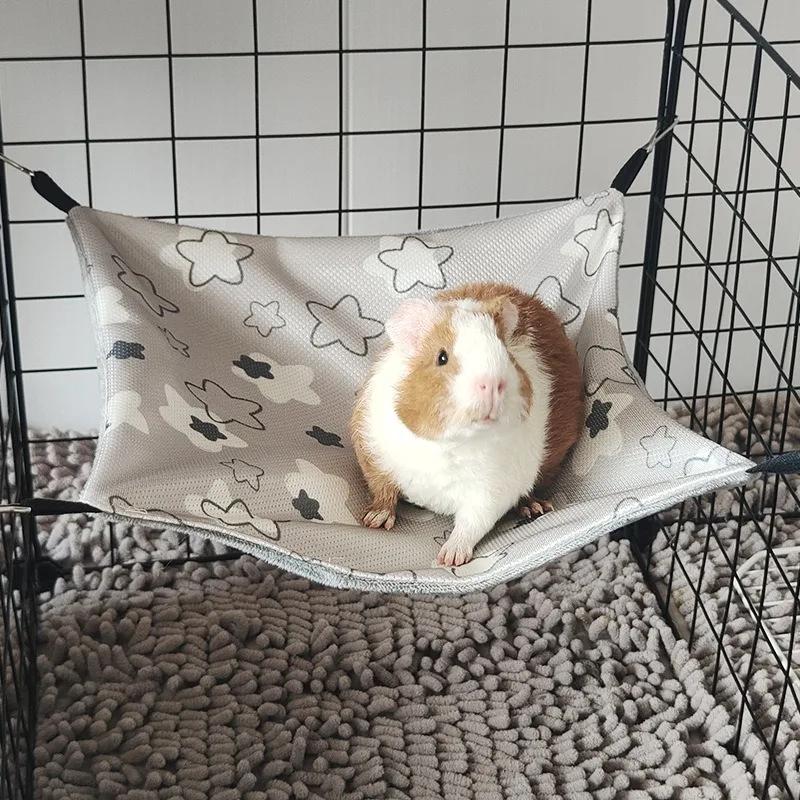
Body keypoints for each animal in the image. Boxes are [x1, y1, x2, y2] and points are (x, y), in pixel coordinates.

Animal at [350, 281, 583, 567]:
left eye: (506, 354)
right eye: (441, 357)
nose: (493, 384)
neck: (452, 443)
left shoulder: (490, 493)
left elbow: (470, 525)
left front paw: (448, 559)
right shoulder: (374, 453)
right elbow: (382, 491)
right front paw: (374, 522)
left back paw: (535, 508)